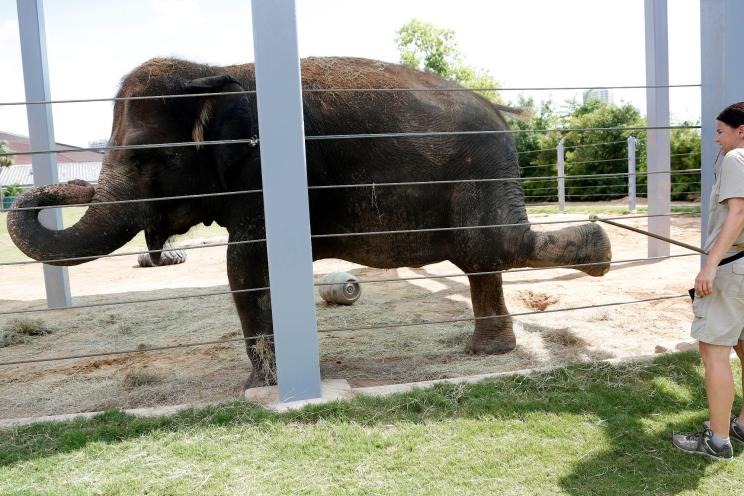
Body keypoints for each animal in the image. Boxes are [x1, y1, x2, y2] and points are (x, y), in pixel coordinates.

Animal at [7, 55, 612, 388]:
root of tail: (500, 112)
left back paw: (602, 248)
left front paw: (259, 387)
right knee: (483, 257)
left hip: (479, 172)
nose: (73, 184)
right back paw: (491, 351)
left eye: (145, 158)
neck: (217, 70)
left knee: (495, 244)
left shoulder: (265, 171)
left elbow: (245, 263)